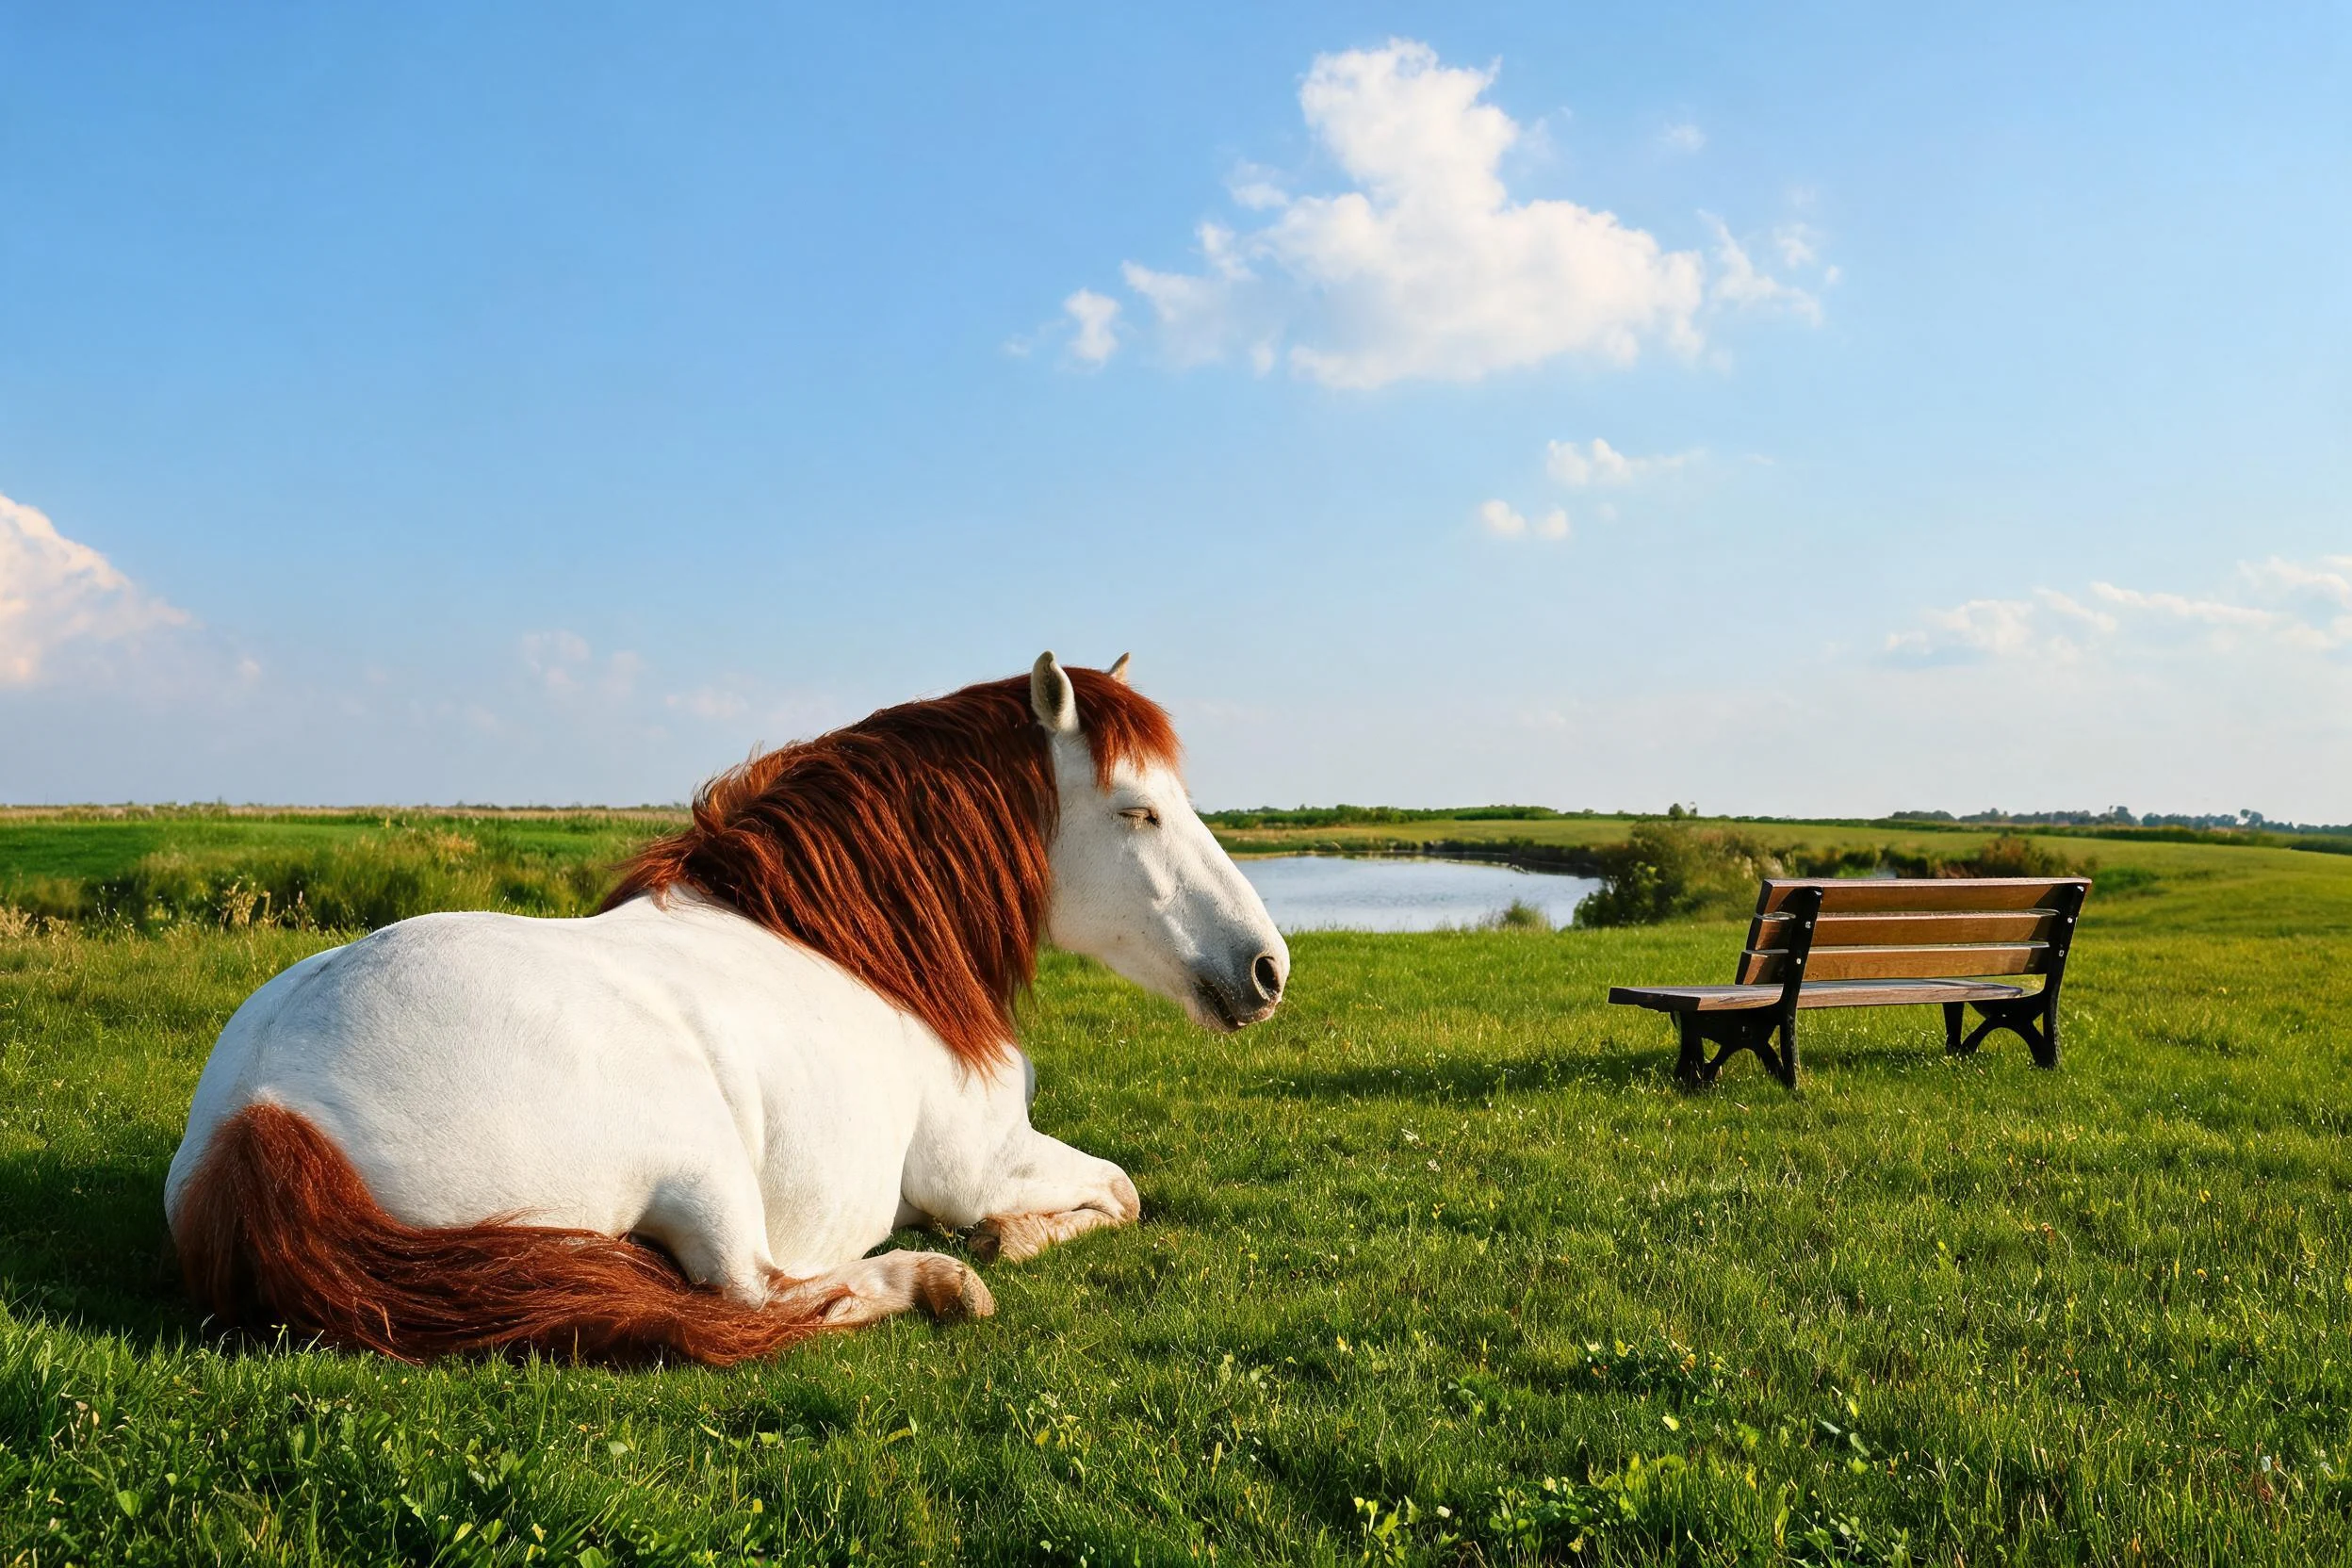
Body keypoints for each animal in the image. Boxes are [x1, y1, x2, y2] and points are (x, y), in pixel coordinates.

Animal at [164, 653, 1288, 1365]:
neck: (864, 947)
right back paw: (934, 1281)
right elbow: (1122, 1191)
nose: (1267, 967)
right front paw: (1009, 1241)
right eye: (1138, 810)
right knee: (757, 1294)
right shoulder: (980, 1162)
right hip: (699, 1155)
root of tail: (265, 1110)